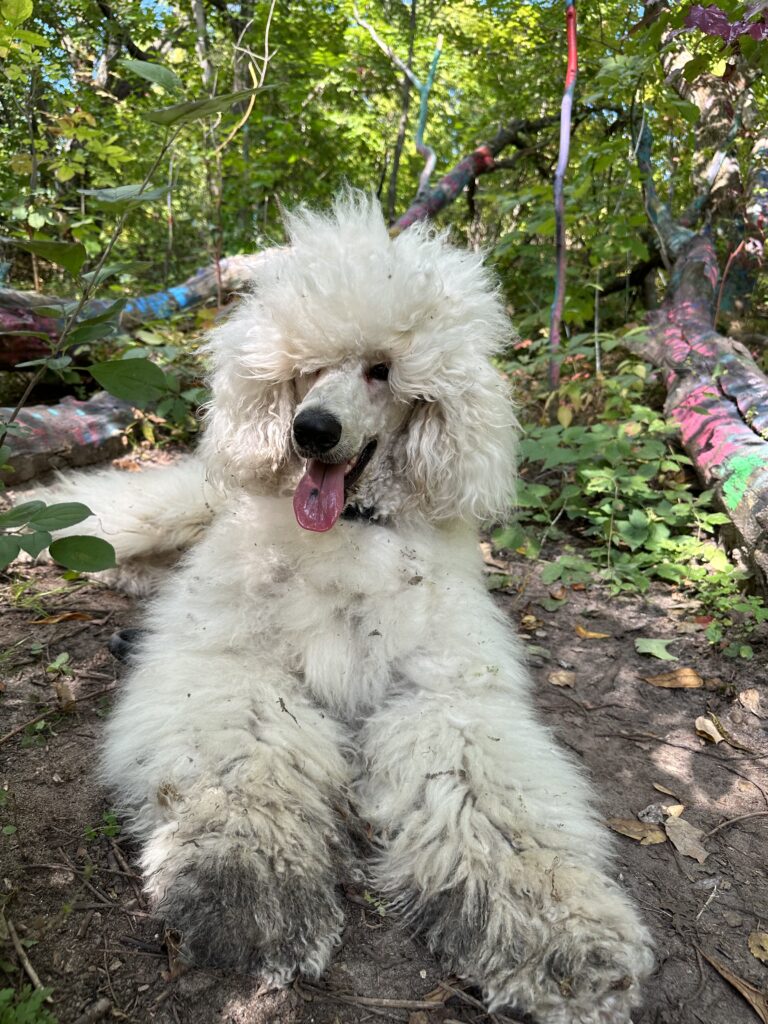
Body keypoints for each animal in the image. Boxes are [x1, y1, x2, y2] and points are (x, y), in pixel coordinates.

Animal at [38, 193, 654, 1023]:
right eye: (305, 371)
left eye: (381, 370)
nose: (310, 431)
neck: (349, 530)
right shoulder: (231, 665)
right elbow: (248, 763)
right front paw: (253, 890)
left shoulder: (443, 696)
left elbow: (494, 805)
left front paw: (560, 938)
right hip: (155, 511)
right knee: (90, 514)